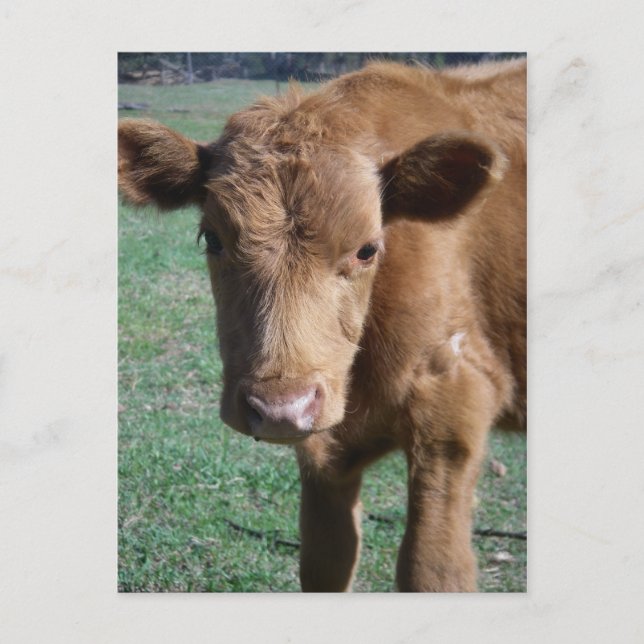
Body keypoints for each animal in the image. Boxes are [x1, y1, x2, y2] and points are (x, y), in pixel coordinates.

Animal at [118, 58, 526, 592]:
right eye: (213, 239)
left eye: (367, 249)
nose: (279, 408)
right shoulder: (325, 456)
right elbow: (325, 561)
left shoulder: (456, 402)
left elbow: (433, 569)